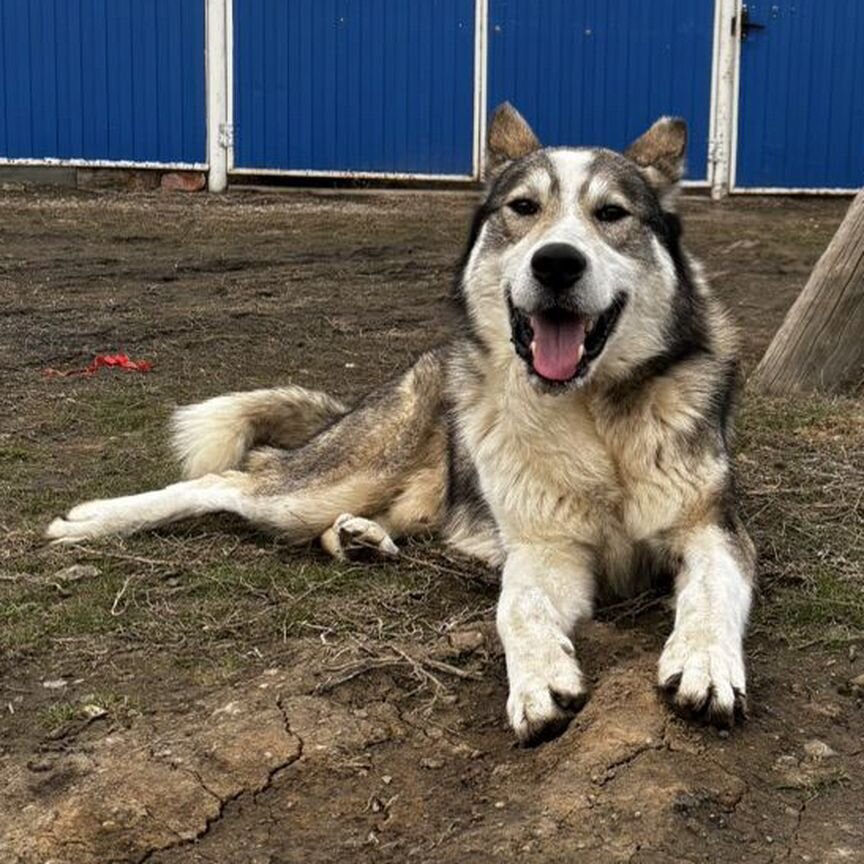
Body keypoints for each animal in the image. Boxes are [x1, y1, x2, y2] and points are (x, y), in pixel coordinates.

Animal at [47, 106, 752, 744]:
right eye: (523, 208)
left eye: (612, 214)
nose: (556, 262)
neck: (593, 416)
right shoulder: (543, 549)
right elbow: (517, 609)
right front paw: (537, 684)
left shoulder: (713, 532)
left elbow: (710, 597)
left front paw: (704, 665)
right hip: (329, 481)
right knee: (232, 479)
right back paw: (93, 520)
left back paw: (358, 538)